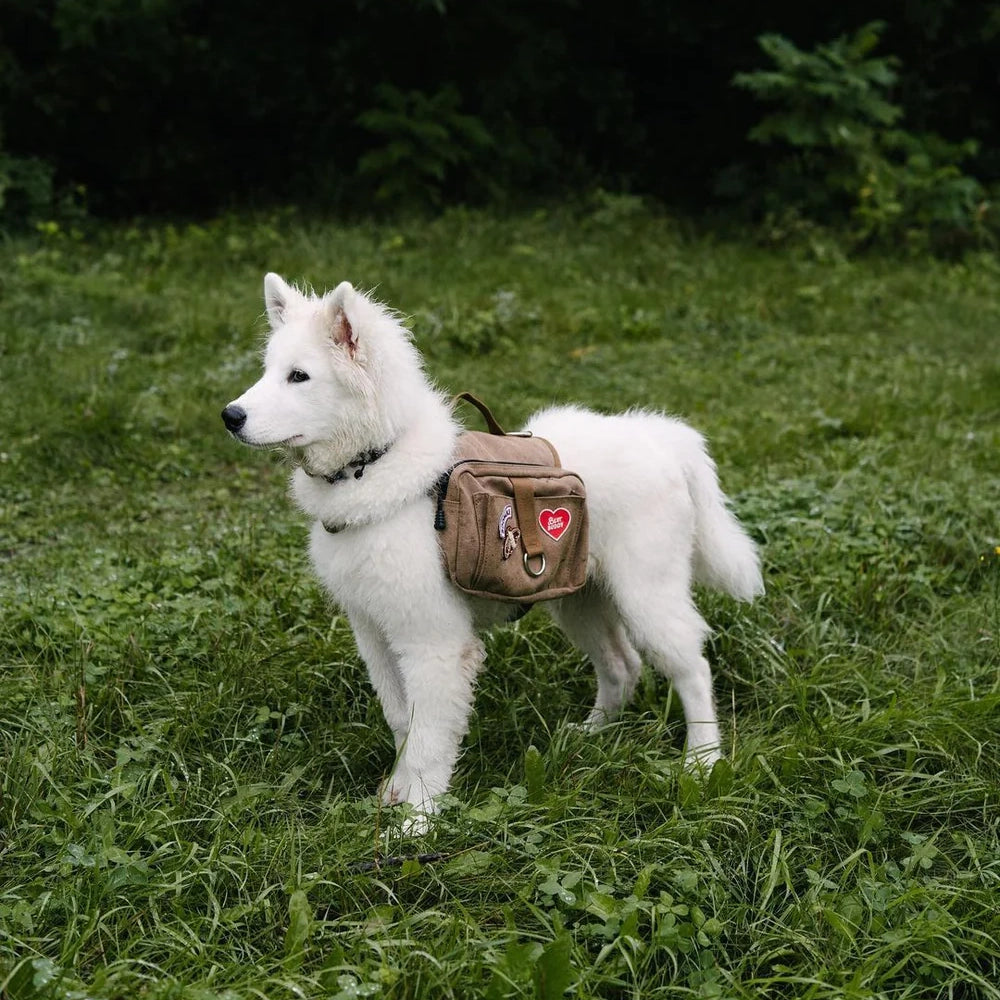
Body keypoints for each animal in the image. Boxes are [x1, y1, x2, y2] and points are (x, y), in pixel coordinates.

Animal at [223, 274, 760, 828]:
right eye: (268, 371)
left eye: (299, 376)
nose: (229, 416)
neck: (375, 463)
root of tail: (659, 437)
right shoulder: (374, 631)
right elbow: (403, 723)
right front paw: (395, 794)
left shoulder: (435, 643)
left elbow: (429, 742)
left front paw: (416, 822)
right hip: (579, 599)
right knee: (621, 665)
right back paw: (590, 737)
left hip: (647, 596)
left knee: (693, 669)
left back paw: (702, 762)